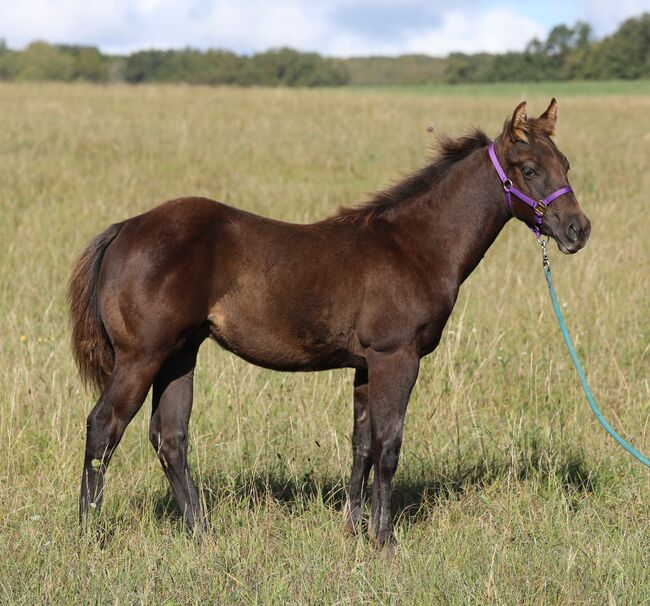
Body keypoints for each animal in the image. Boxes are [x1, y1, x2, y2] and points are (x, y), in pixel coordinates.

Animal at [69, 98, 588, 548]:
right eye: (529, 169)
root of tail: (125, 228)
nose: (578, 230)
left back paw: (202, 533)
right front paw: (384, 539)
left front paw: (353, 528)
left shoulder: (365, 366)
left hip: (179, 355)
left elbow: (361, 444)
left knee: (170, 437)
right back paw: (89, 533)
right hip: (142, 357)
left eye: (566, 164)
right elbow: (388, 444)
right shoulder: (396, 358)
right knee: (104, 426)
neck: (414, 245)